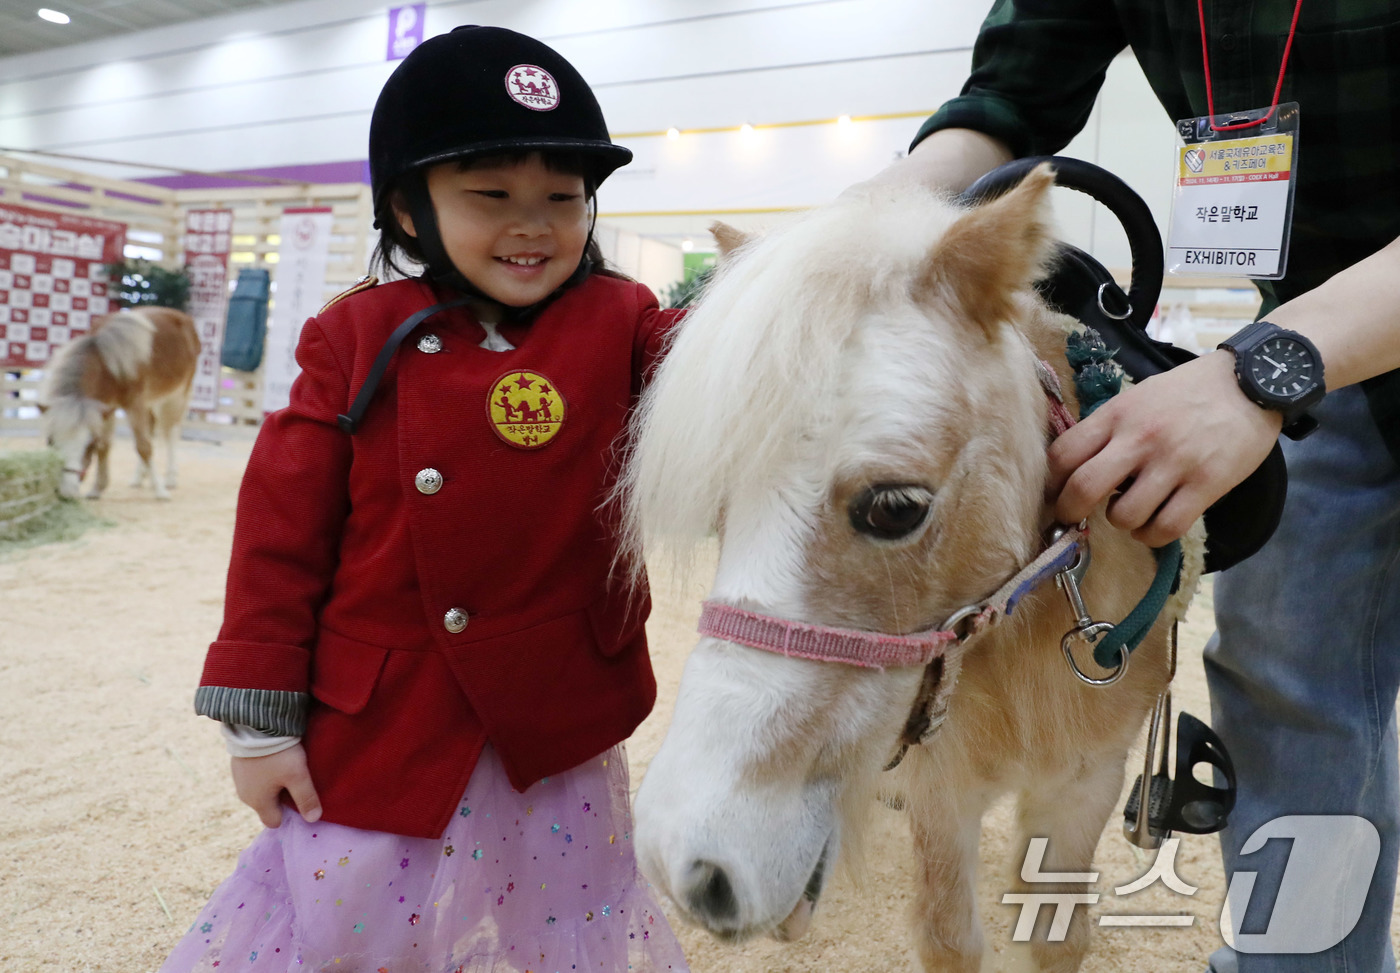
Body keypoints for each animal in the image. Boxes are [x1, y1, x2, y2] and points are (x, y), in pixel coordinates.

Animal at [630, 169, 1198, 973]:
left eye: (896, 508)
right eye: (721, 508)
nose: (689, 864)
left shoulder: (1086, 783)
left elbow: (1055, 934)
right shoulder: (943, 793)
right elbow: (949, 936)